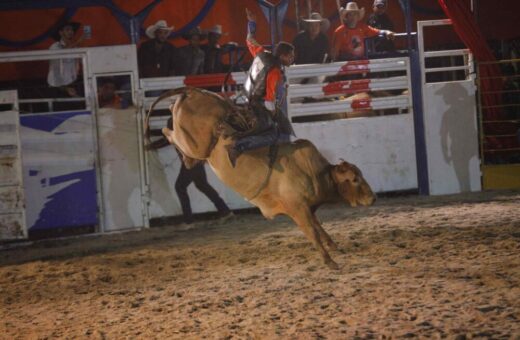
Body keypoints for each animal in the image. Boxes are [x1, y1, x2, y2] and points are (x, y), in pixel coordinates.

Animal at [144, 87, 376, 270]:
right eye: (355, 179)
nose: (373, 198)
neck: (314, 172)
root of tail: (194, 91)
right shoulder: (297, 208)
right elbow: (312, 232)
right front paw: (330, 262)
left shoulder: (308, 208)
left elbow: (319, 228)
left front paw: (335, 247)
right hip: (195, 144)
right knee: (169, 132)